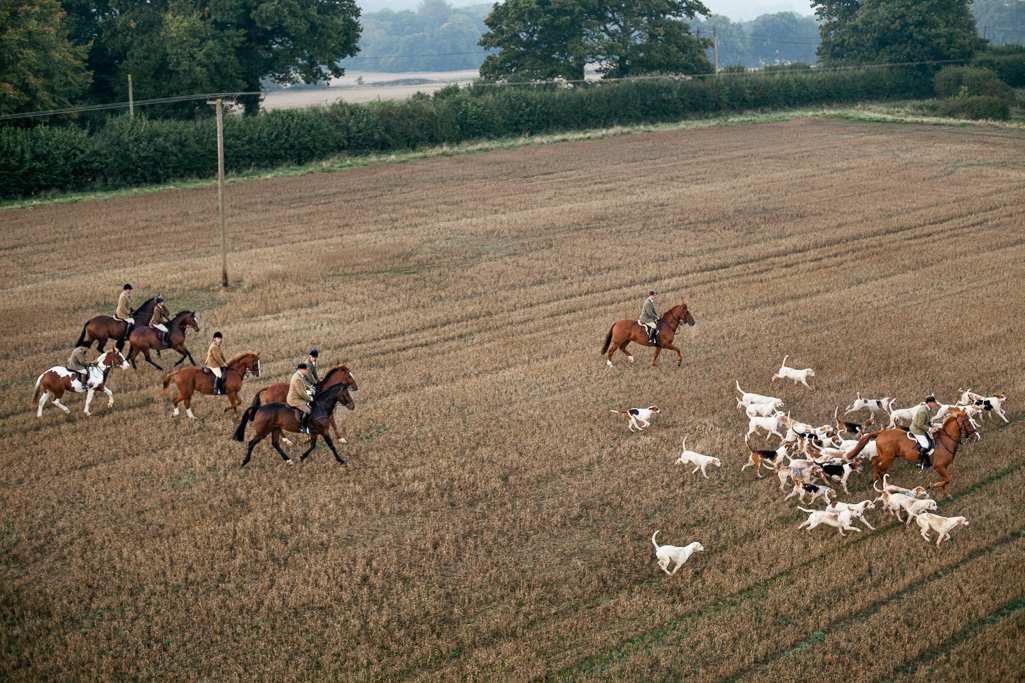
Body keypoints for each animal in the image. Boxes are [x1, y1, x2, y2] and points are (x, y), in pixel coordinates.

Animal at [844, 410, 979, 500]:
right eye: (968, 424)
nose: (977, 437)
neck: (945, 441)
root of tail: (882, 433)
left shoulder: (944, 466)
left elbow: (945, 480)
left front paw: (947, 494)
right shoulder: (939, 466)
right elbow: (946, 479)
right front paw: (931, 486)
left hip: (885, 456)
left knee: (874, 460)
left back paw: (874, 477)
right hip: (888, 458)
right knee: (882, 470)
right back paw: (885, 487)